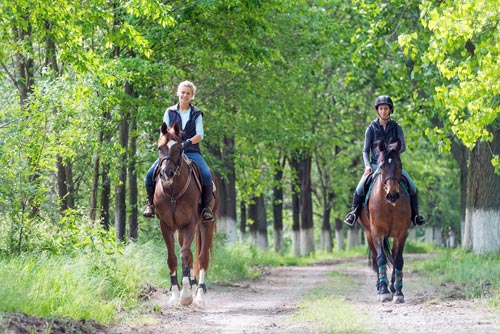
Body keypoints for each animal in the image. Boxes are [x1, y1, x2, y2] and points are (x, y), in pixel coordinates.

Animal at [153, 121, 218, 306]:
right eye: (160, 147)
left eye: (179, 148)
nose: (167, 174)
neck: (173, 191)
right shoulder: (166, 225)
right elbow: (173, 257)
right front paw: (175, 293)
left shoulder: (190, 224)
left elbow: (184, 255)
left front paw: (186, 295)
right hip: (181, 230)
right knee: (190, 255)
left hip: (206, 224)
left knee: (202, 258)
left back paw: (200, 294)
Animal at [358, 138, 412, 302]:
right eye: (381, 166)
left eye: (400, 165)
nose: (392, 195)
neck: (389, 206)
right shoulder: (376, 232)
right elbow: (381, 258)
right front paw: (383, 291)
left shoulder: (402, 233)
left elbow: (398, 259)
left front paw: (398, 292)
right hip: (368, 233)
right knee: (376, 259)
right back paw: (380, 286)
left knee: (393, 256)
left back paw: (393, 286)